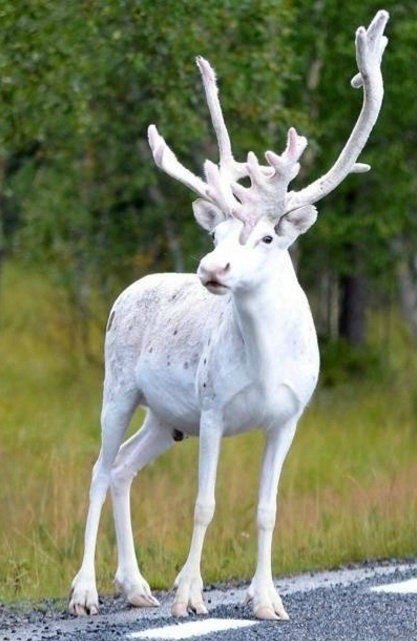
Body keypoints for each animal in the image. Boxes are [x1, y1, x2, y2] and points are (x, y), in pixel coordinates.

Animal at [69, 10, 389, 621]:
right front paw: (188, 596)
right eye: (215, 235)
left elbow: (267, 509)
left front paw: (266, 599)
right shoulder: (213, 407)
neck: (264, 363)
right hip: (117, 386)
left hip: (166, 418)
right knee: (97, 468)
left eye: (266, 237)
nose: (211, 268)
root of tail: (125, 292)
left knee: (122, 467)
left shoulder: (288, 417)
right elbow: (204, 503)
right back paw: (86, 591)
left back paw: (136, 585)